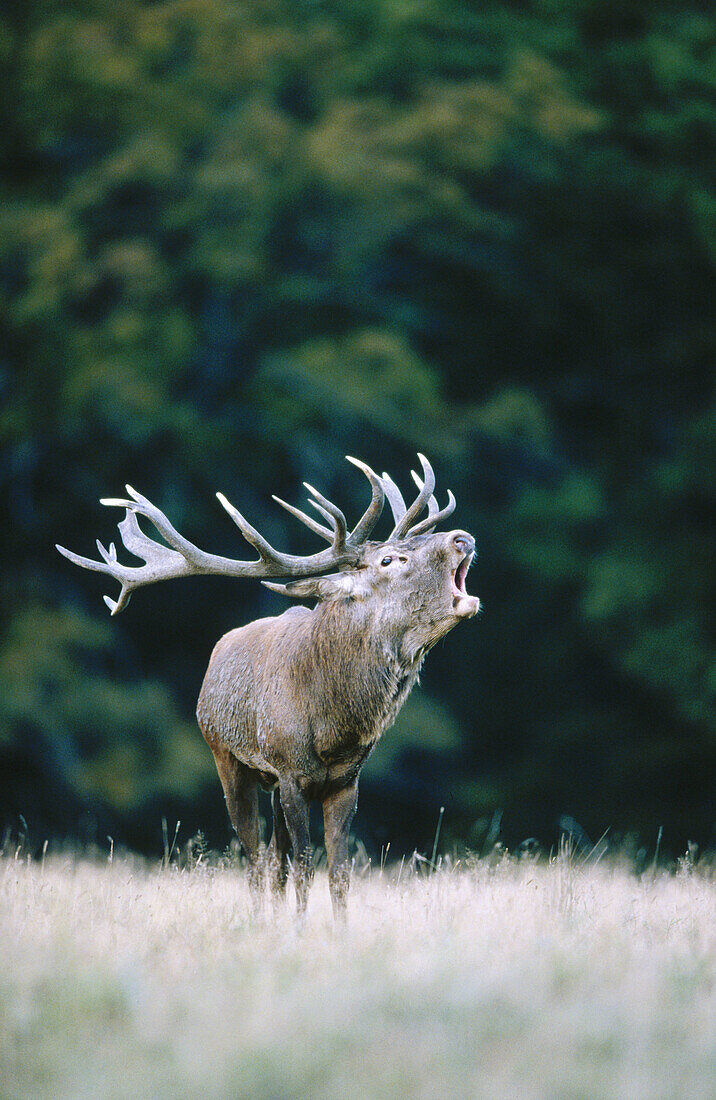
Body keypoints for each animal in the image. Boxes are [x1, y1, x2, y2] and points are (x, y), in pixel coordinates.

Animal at [57, 451, 481, 915]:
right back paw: (261, 917)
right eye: (389, 560)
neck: (334, 726)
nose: (462, 538)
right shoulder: (291, 771)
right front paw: (298, 927)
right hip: (228, 759)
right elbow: (303, 867)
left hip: (271, 782)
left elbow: (339, 875)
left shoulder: (346, 781)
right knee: (256, 863)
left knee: (274, 864)